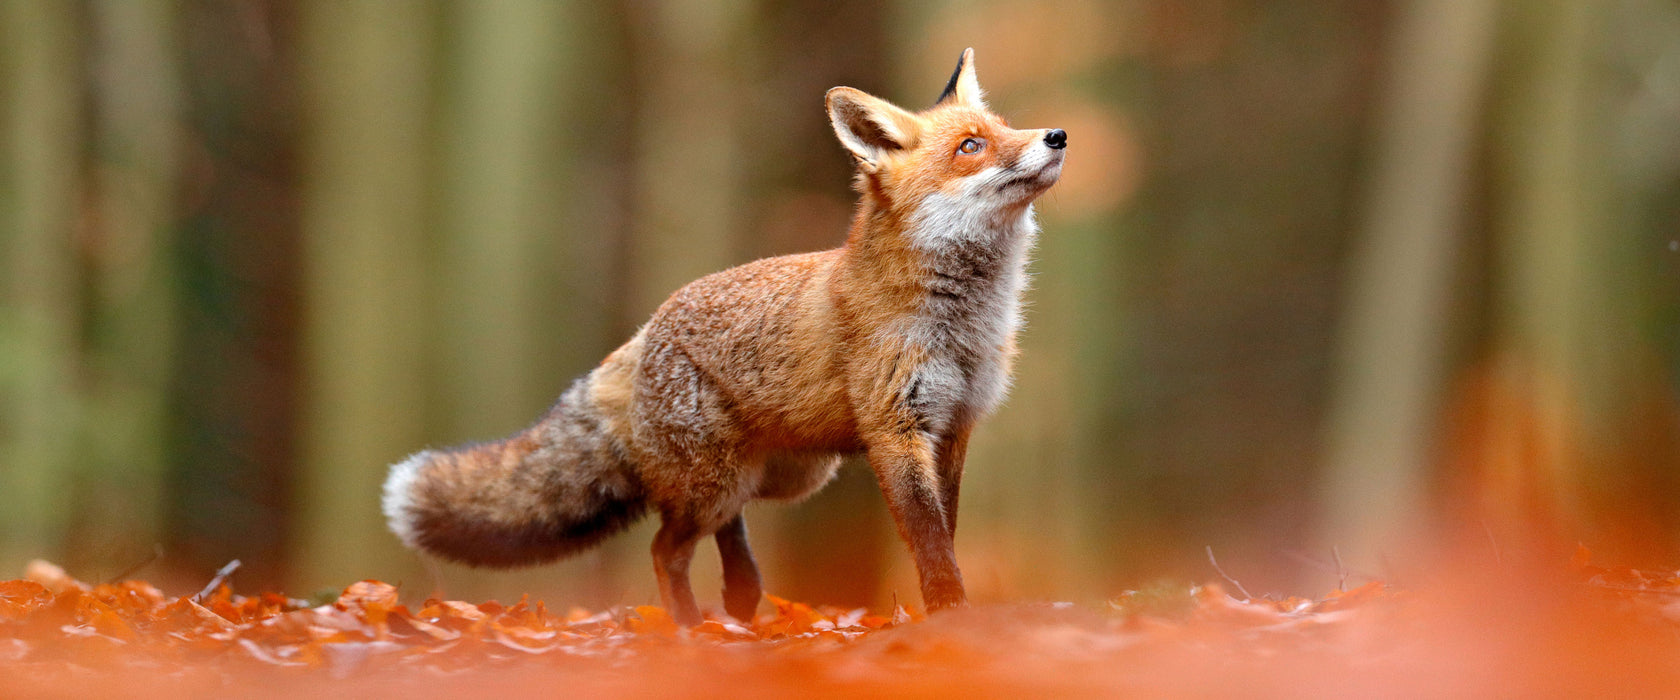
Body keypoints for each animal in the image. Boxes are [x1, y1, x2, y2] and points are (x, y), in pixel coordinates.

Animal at [384, 50, 1061, 627]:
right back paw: (689, 631)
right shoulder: (897, 428)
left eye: (1006, 127)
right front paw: (949, 616)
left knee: (724, 530)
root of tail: (643, 332)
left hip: (783, 475)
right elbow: (928, 542)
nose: (1055, 136)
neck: (965, 324)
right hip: (719, 481)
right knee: (666, 548)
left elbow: (945, 533)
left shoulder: (954, 426)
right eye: (971, 146)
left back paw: (740, 599)